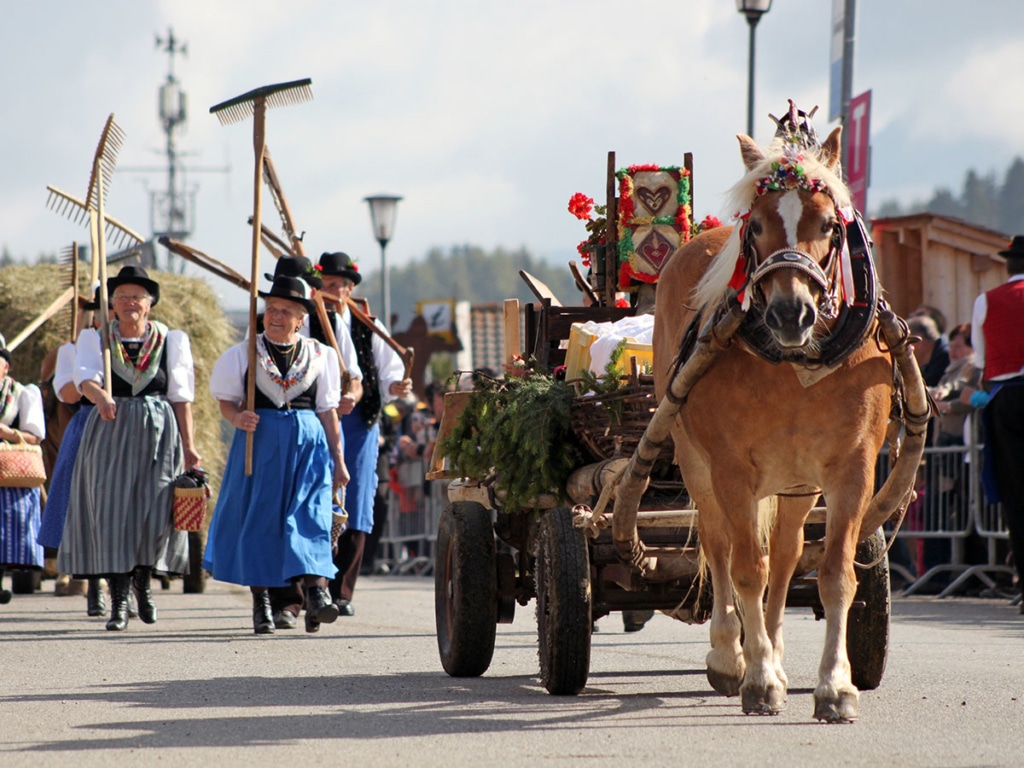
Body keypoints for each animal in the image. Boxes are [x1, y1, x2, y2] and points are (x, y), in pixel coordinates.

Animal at [643, 121, 925, 720]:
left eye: (830, 225)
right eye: (758, 224)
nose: (789, 314)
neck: (796, 362)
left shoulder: (851, 470)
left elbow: (834, 575)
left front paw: (834, 686)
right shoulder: (731, 471)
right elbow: (745, 567)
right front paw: (756, 678)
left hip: (796, 485)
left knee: (786, 557)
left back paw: (768, 647)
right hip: (695, 462)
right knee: (721, 547)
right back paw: (732, 655)